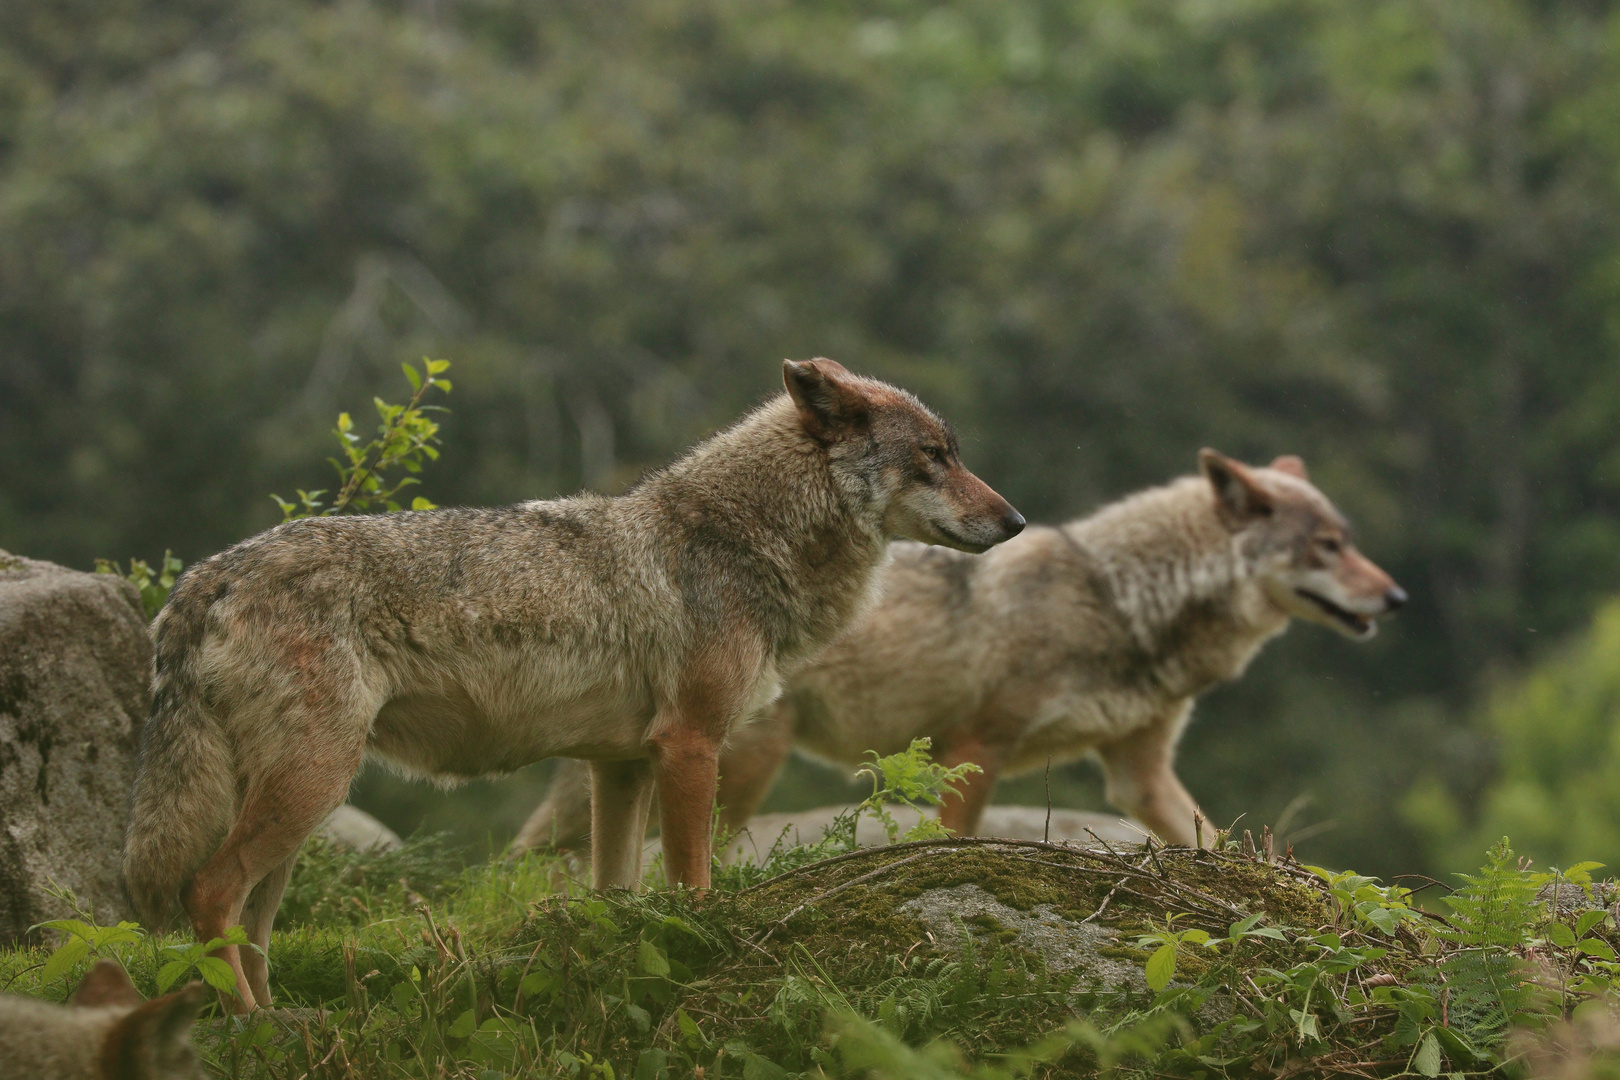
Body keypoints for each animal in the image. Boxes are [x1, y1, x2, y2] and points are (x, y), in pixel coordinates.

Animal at [126, 359, 1017, 1010]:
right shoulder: (690, 745)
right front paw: (704, 947)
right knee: (208, 895)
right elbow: (691, 881)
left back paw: (283, 1026)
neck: (739, 540)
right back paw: (247, 1025)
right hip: (311, 785)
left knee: (250, 928)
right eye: (936, 458)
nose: (1014, 522)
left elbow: (615, 891)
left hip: (301, 806)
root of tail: (206, 576)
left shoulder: (617, 767)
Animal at [518, 446, 1406, 854]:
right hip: (736, 768)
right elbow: (950, 839)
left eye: (1351, 541)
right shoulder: (976, 745)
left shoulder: (1139, 774)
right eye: (1327, 547)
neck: (1120, 600)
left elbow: (1211, 841)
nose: (1397, 598)